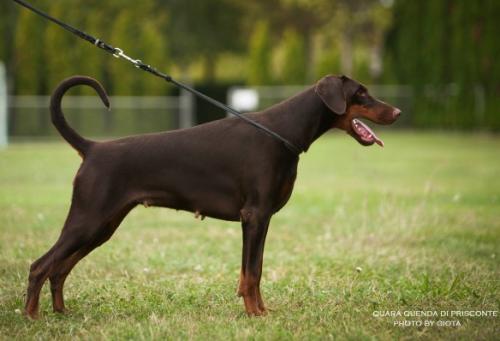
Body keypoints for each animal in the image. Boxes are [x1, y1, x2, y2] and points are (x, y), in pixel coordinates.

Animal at [23, 73, 400, 316]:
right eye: (361, 93)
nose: (397, 112)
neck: (283, 131)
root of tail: (92, 148)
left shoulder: (262, 219)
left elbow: (255, 269)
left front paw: (262, 311)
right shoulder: (255, 215)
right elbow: (251, 273)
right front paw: (254, 315)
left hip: (103, 226)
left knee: (59, 268)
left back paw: (62, 312)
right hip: (88, 218)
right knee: (40, 265)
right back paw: (32, 317)